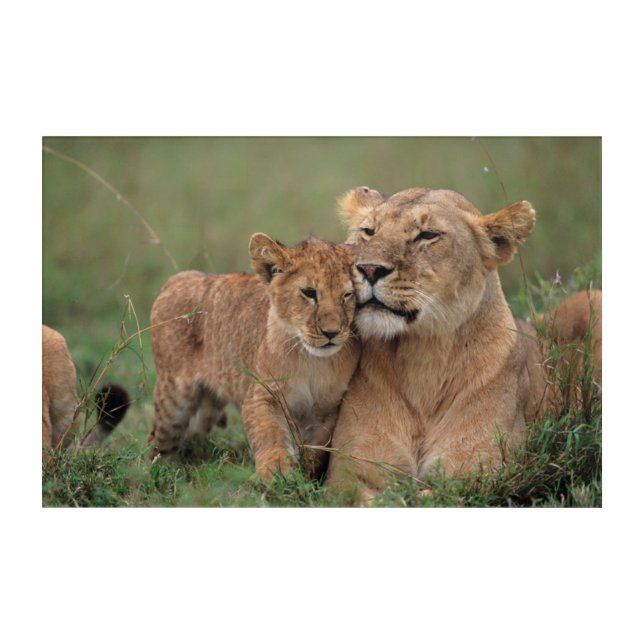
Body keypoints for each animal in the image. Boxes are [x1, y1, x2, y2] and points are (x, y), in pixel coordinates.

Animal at [147, 234, 360, 480]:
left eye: (347, 295)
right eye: (309, 292)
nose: (331, 333)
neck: (312, 360)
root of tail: (177, 278)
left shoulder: (326, 410)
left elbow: (315, 451)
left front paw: (306, 477)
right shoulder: (263, 394)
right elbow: (270, 433)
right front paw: (276, 471)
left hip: (206, 409)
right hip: (174, 399)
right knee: (157, 439)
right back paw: (154, 472)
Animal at [325, 187, 601, 497]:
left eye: (427, 235)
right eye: (369, 232)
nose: (369, 268)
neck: (423, 357)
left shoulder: (479, 471)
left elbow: (420, 499)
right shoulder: (348, 473)